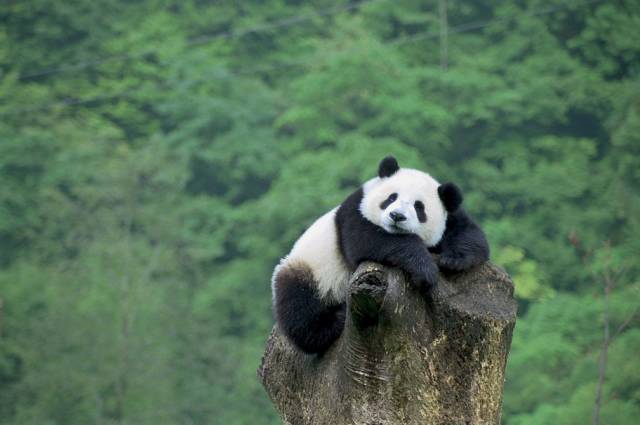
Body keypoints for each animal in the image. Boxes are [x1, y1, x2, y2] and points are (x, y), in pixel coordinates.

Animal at [271, 156, 489, 354]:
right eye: (391, 198)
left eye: (419, 207)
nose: (397, 216)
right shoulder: (355, 209)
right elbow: (368, 240)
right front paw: (424, 270)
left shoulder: (451, 217)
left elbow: (469, 233)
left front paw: (454, 260)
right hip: (310, 270)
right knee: (300, 308)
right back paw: (336, 319)